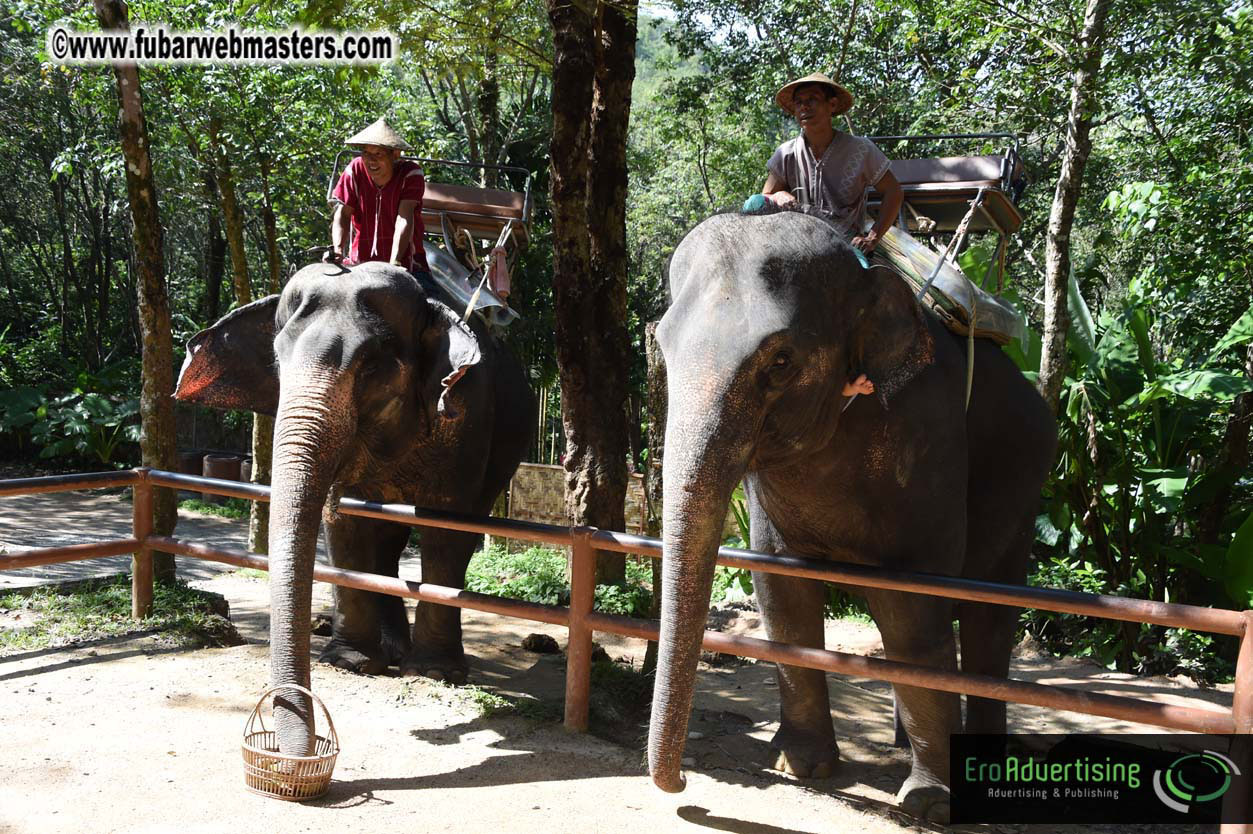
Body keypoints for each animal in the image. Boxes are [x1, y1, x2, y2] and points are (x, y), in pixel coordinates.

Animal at [174, 260, 533, 756]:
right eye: (277, 362)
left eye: (371, 367)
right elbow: (342, 522)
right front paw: (350, 663)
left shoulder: (467, 411)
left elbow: (446, 524)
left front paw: (435, 672)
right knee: (385, 538)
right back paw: (391, 651)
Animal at [648, 207, 1056, 822]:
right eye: (662, 347)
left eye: (781, 361)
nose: (685, 792)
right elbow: (782, 595)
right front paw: (799, 766)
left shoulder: (928, 438)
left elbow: (913, 610)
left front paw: (929, 804)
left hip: (1024, 491)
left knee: (989, 618)